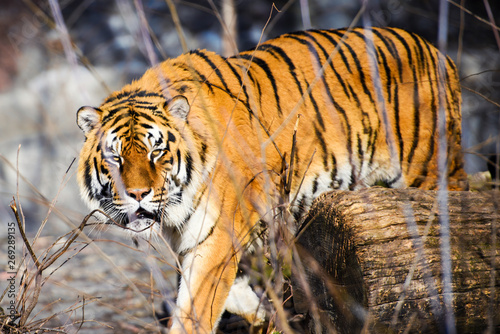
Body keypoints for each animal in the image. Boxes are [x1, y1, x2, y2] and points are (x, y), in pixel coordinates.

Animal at [76, 27, 466, 332]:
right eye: (115, 157)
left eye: (156, 152)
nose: (138, 193)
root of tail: (437, 51)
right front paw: (269, 312)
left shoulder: (217, 235)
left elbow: (196, 309)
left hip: (430, 171)